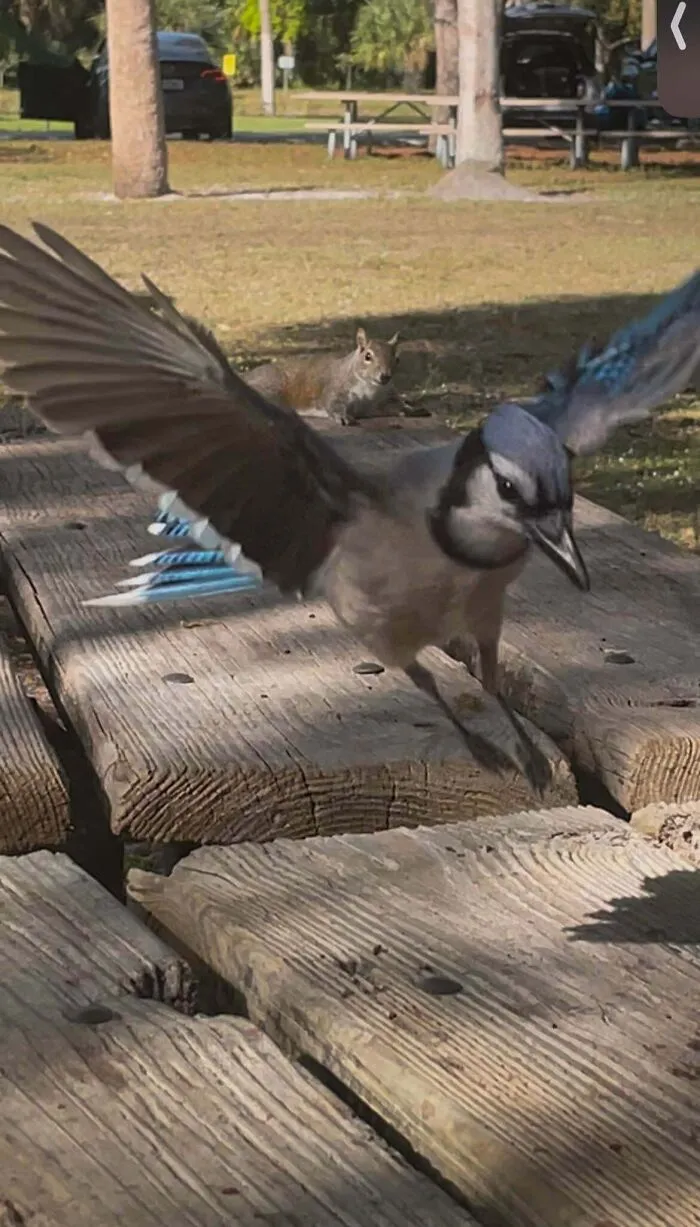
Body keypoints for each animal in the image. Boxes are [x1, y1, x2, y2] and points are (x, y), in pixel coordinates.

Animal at [131, 291, 400, 426]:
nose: (385, 376)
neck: (369, 388)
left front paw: (403, 408)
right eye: (368, 356)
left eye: (396, 358)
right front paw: (342, 416)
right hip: (272, 389)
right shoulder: (335, 388)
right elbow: (332, 403)